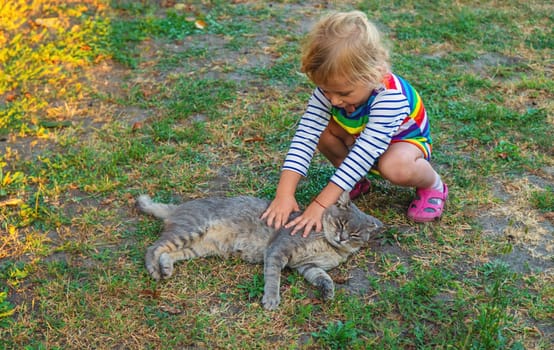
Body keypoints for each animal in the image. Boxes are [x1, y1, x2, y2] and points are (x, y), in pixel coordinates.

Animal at [136, 193, 382, 310]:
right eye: (341, 223)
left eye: (355, 234)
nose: (342, 237)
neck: (328, 246)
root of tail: (179, 207)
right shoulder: (278, 250)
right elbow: (273, 278)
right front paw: (271, 299)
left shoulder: (308, 266)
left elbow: (325, 278)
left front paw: (328, 292)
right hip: (190, 231)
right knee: (153, 248)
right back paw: (155, 271)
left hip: (198, 248)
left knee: (168, 253)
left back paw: (166, 268)